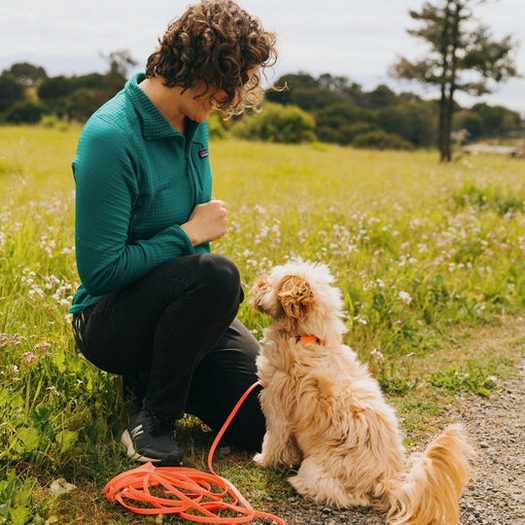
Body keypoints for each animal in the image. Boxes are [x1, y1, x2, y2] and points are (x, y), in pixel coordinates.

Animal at [248, 260, 472, 524]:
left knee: (344, 495)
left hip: (316, 468)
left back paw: (300, 484)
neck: (307, 337)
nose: (257, 282)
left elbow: (274, 441)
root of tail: (385, 482)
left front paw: (265, 461)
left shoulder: (276, 407)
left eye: (271, 282)